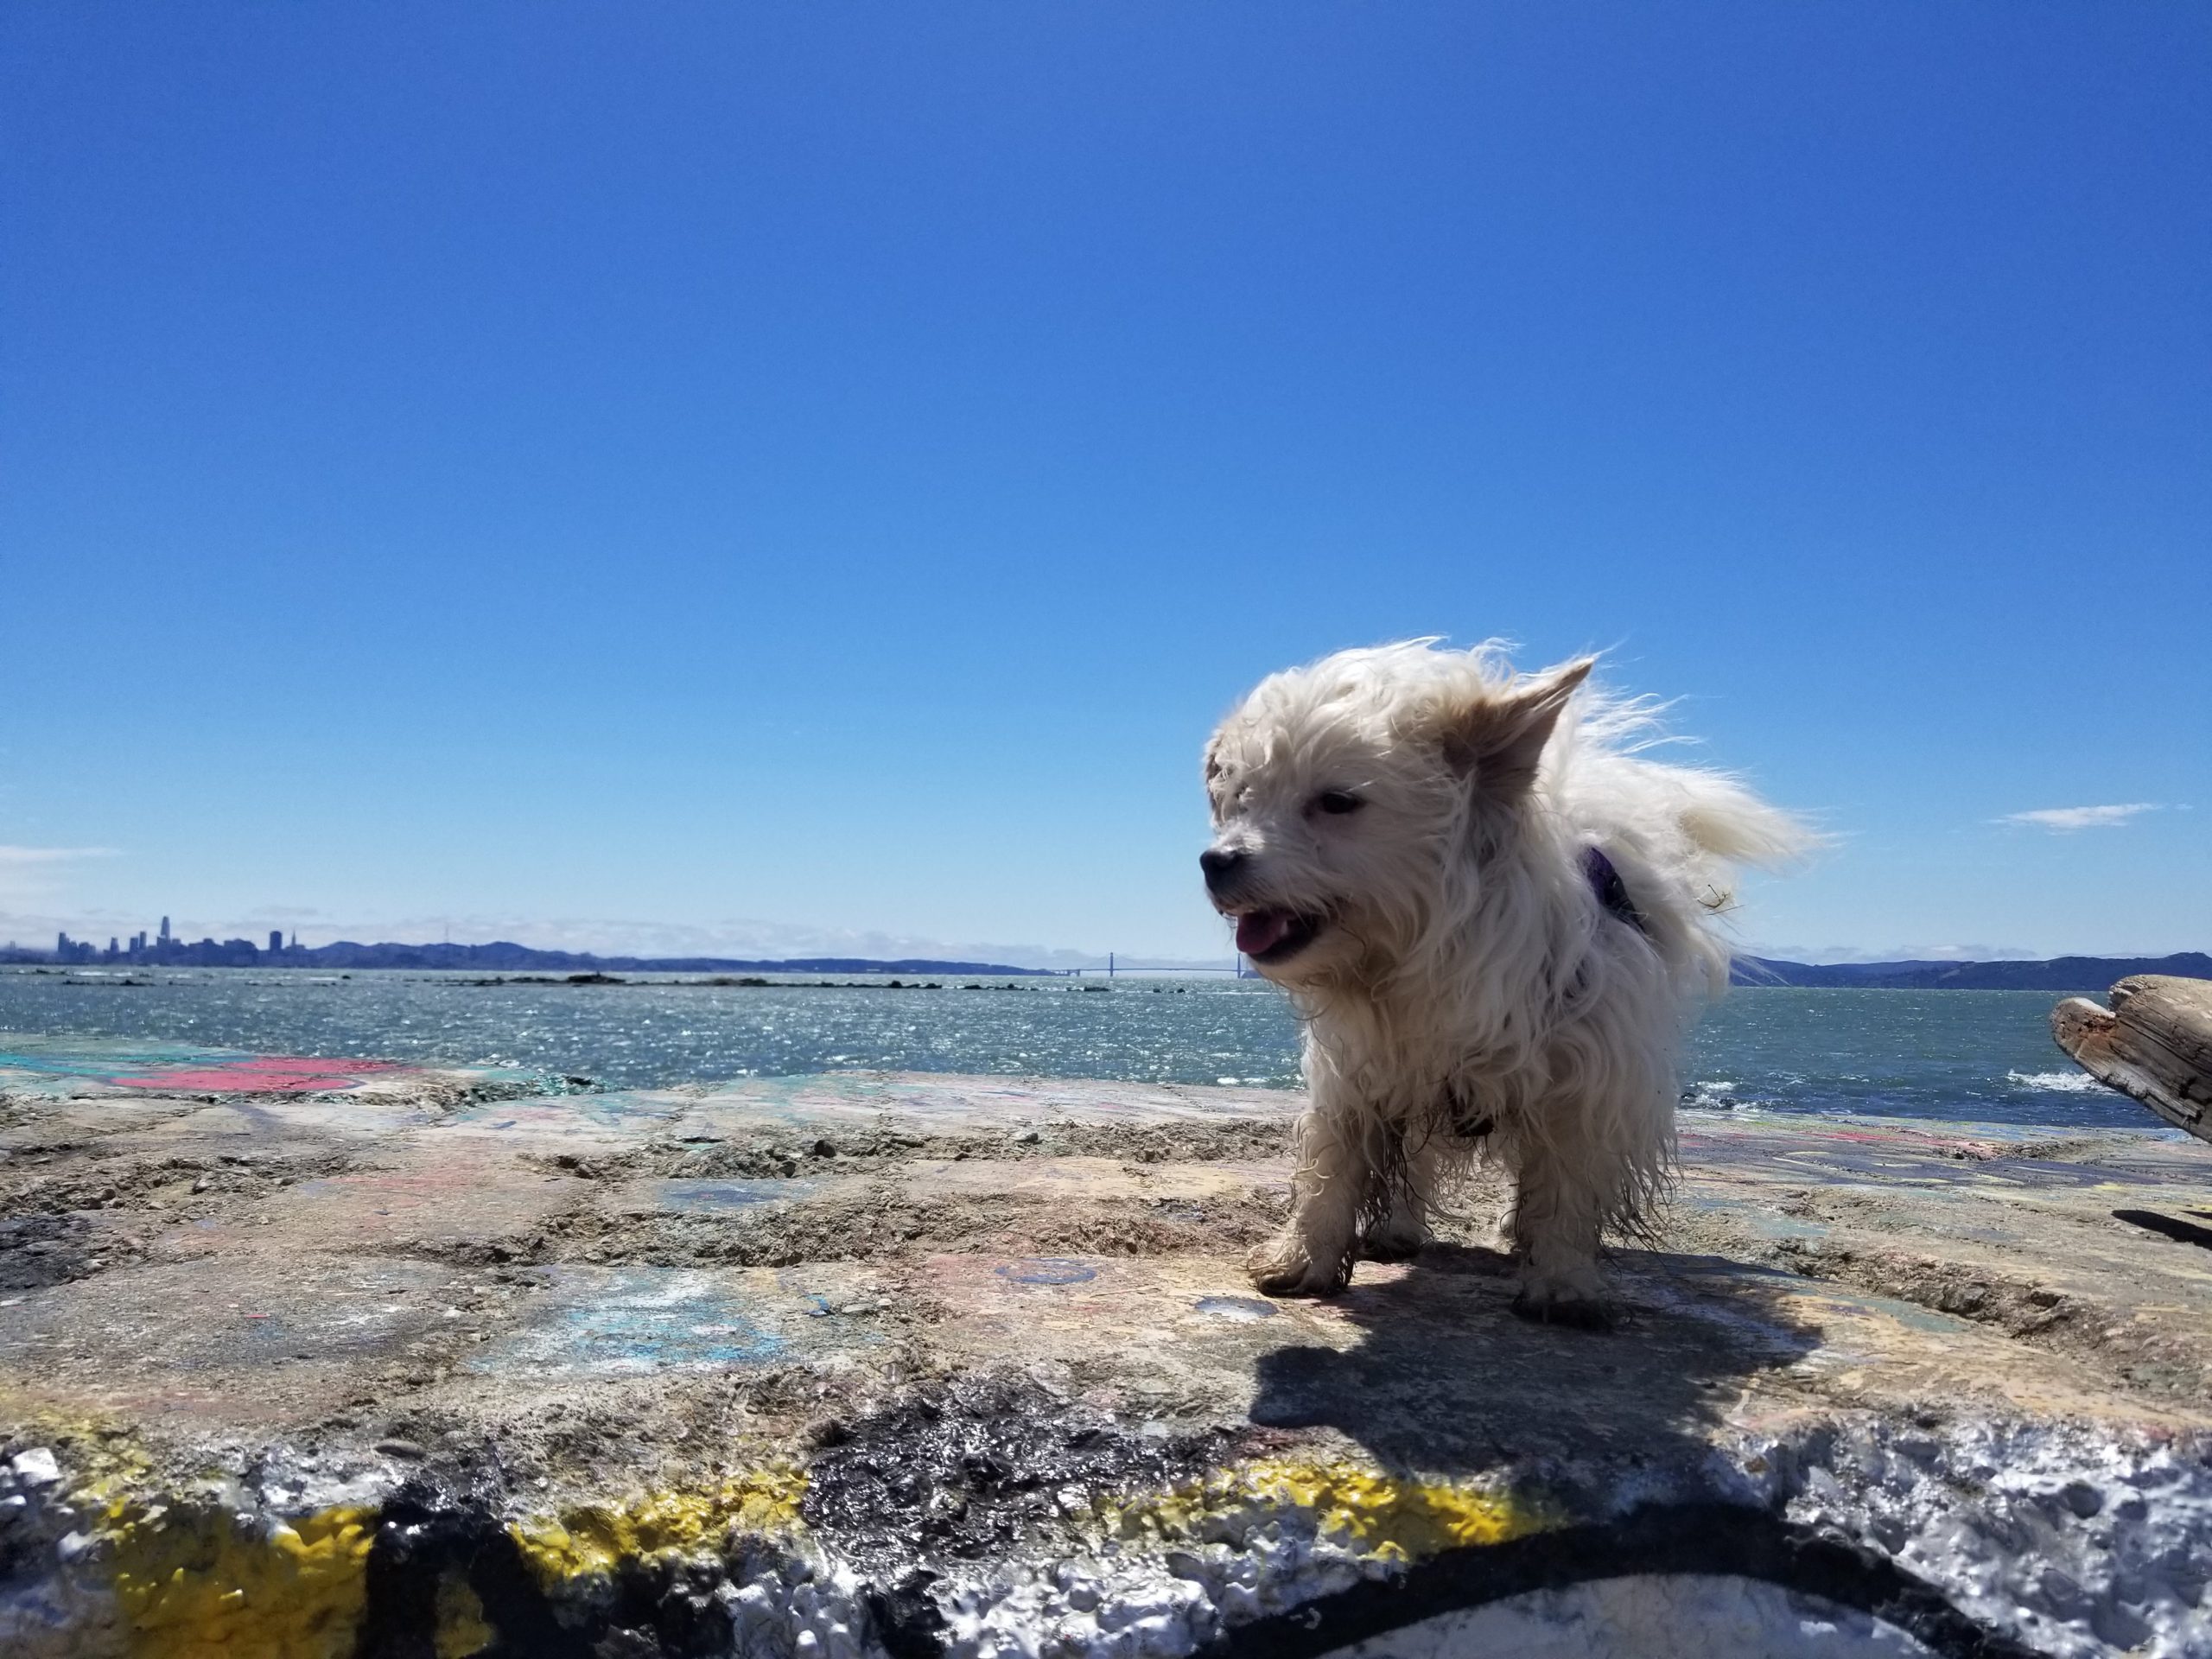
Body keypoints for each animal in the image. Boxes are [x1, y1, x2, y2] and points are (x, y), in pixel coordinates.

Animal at [1203, 641, 1804, 1336]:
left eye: (1337, 802)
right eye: (1240, 799)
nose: (1215, 862)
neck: (1427, 953)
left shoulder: (1586, 1079)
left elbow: (1568, 1186)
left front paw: (1563, 1281)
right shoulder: (1358, 1069)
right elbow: (1335, 1163)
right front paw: (1303, 1259)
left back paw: (1520, 1229)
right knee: (1416, 1155)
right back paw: (1398, 1227)